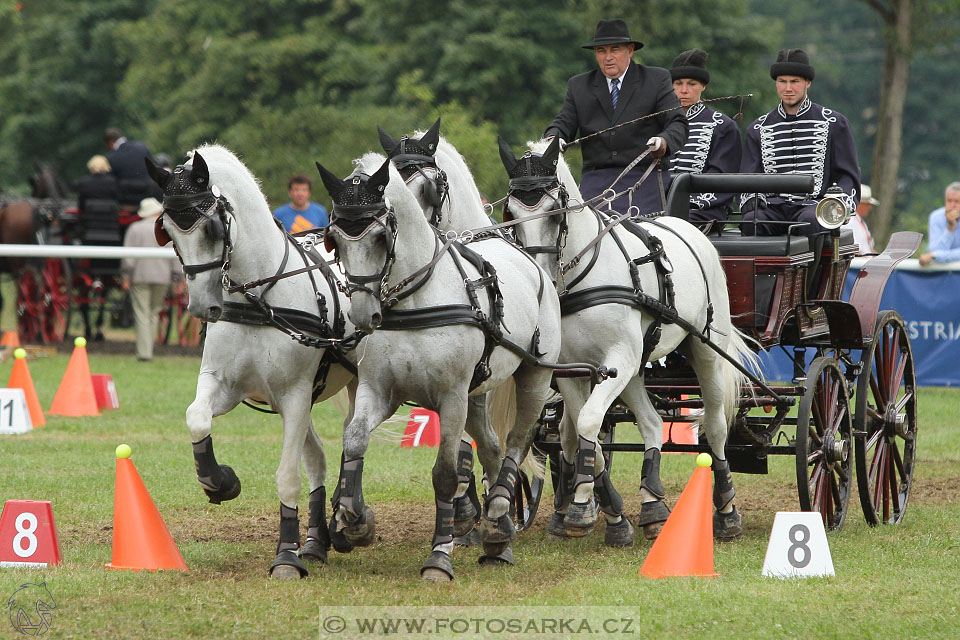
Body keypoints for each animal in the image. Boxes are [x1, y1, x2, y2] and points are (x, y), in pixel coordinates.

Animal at [148, 146, 358, 580]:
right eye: (169, 232)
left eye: (213, 229)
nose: (202, 307)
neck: (261, 297)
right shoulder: (226, 385)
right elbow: (197, 417)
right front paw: (220, 481)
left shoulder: (294, 396)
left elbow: (287, 477)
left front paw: (286, 556)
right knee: (319, 457)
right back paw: (316, 541)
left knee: (350, 441)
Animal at [312, 159, 560, 580]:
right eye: (336, 241)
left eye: (380, 237)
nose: (362, 315)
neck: (418, 299)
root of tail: (532, 263)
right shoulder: (379, 392)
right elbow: (355, 440)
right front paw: (356, 521)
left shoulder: (451, 397)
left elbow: (446, 474)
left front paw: (439, 557)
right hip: (478, 392)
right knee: (491, 447)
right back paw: (499, 533)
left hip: (534, 378)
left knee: (516, 440)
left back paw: (499, 508)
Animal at [502, 139, 756, 540]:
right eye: (511, 212)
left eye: (555, 212)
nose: (539, 277)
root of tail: (691, 229)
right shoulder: (573, 370)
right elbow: (581, 431)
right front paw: (599, 511)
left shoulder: (617, 360)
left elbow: (588, 422)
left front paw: (581, 509)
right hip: (636, 367)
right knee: (651, 422)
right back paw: (652, 505)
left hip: (704, 349)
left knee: (715, 425)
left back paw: (727, 511)